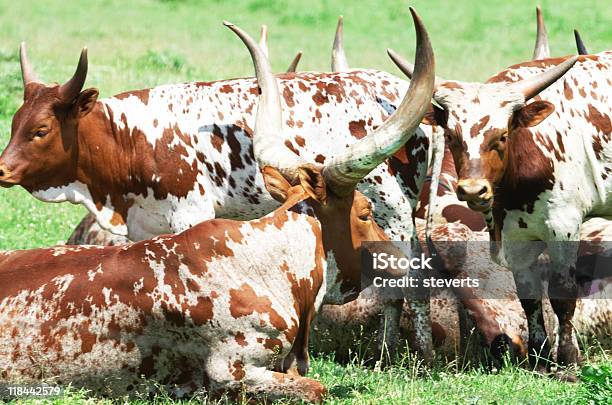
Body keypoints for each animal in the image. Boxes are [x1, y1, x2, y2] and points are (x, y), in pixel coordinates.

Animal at [0, 11, 436, 400]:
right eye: (16, 125)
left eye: (40, 130)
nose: (2, 170)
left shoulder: (188, 211)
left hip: (397, 208)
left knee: (409, 288)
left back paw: (408, 356)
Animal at [388, 45, 612, 372]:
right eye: (451, 136)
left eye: (502, 136)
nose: (472, 189)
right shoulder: (514, 235)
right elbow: (528, 297)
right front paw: (540, 361)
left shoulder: (564, 226)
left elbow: (562, 296)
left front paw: (569, 362)